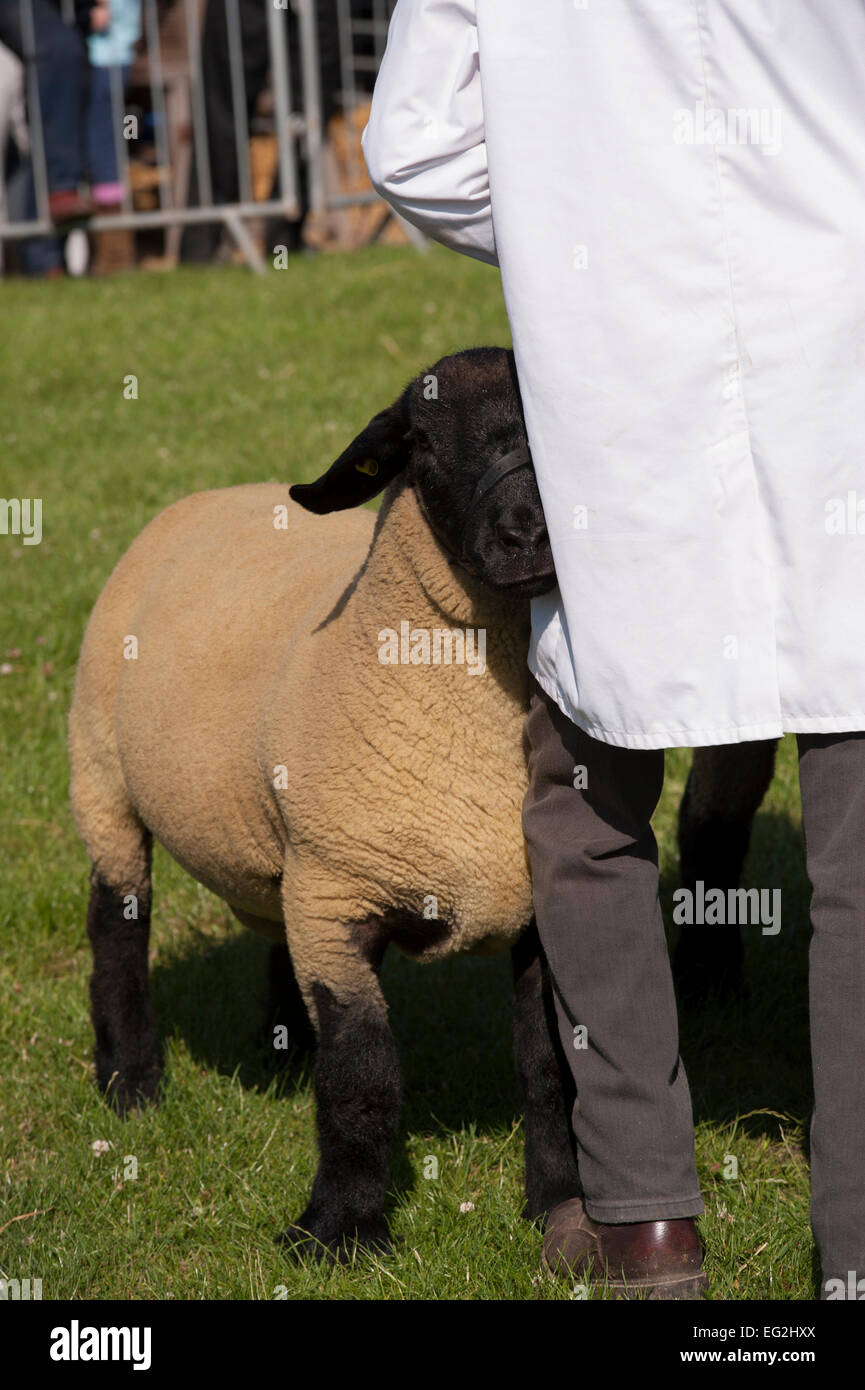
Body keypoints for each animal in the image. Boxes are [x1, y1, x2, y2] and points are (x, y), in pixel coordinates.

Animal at [67, 344, 584, 1262]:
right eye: (420, 443)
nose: (528, 532)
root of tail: (218, 490)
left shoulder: (527, 905)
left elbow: (545, 1064)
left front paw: (555, 1205)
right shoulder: (340, 896)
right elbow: (360, 1077)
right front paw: (339, 1231)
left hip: (278, 853)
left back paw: (281, 1050)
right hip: (101, 776)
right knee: (116, 930)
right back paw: (131, 1083)